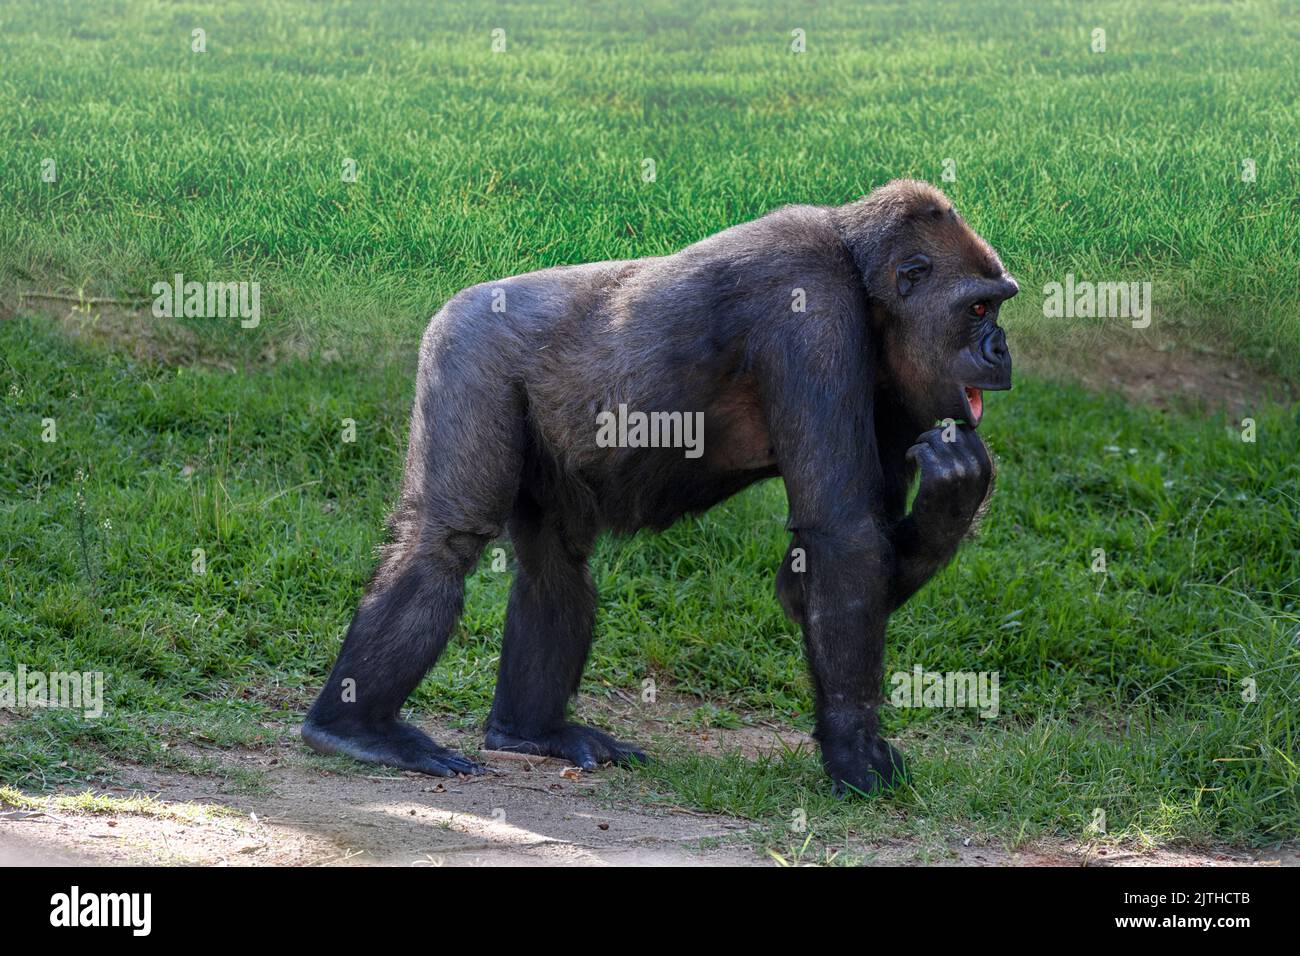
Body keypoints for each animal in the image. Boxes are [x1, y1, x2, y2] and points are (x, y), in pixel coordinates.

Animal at [301, 178, 1013, 790]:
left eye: (998, 305)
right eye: (977, 307)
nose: (1002, 349)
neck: (864, 280)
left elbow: (813, 574)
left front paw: (952, 501)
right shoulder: (812, 312)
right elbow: (842, 534)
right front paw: (855, 749)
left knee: (555, 565)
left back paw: (530, 733)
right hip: (466, 343)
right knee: (443, 543)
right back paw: (353, 728)